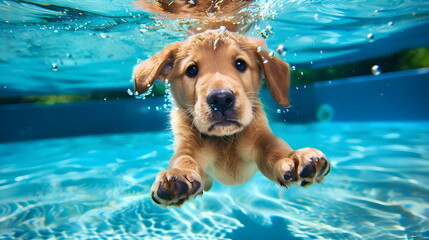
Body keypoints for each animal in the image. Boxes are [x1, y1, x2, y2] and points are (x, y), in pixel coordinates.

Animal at [134, 30, 332, 206]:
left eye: (240, 64)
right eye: (191, 70)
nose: (221, 99)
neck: (224, 140)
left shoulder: (261, 137)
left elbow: (274, 148)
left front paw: (293, 157)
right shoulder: (188, 148)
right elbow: (184, 159)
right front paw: (177, 174)